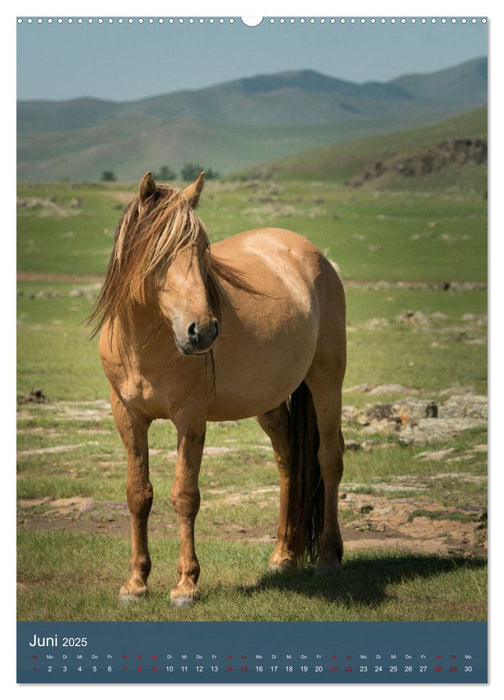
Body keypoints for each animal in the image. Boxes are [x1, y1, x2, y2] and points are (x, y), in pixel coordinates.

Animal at [88, 171, 344, 608]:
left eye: (202, 250)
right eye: (158, 253)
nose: (203, 330)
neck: (145, 341)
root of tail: (313, 255)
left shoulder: (190, 418)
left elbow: (185, 496)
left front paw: (186, 585)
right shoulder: (127, 416)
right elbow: (138, 494)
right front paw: (135, 582)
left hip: (327, 383)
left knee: (329, 460)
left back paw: (328, 557)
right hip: (269, 402)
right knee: (288, 462)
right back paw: (283, 555)